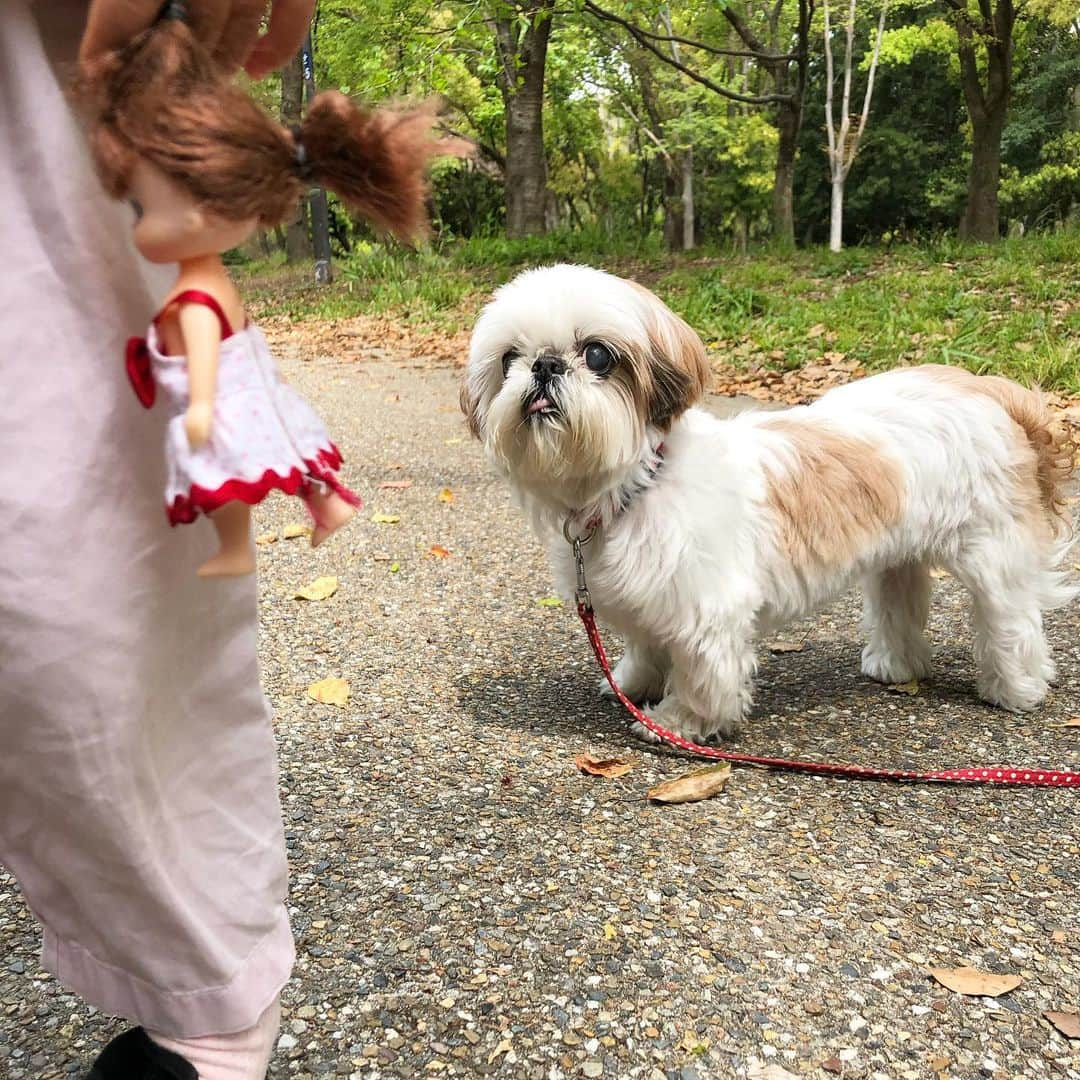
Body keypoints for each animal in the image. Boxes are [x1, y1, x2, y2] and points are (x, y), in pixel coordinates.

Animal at [460, 265, 1075, 747]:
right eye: (510, 358)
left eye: (596, 355)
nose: (544, 365)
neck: (637, 483)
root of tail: (985, 389)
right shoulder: (646, 593)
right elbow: (647, 643)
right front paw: (634, 683)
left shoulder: (705, 607)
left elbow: (704, 673)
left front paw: (678, 720)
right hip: (898, 550)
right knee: (899, 597)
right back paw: (895, 666)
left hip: (990, 551)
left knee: (1010, 617)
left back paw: (1016, 688)